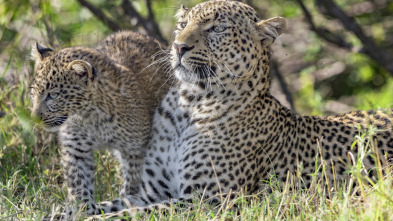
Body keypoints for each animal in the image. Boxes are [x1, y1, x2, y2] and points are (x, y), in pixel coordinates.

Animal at [89, 0, 392, 218]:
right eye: (182, 24)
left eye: (217, 29)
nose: (178, 46)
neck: (188, 106)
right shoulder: (149, 193)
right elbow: (102, 206)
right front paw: (82, 209)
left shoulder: (208, 200)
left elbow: (131, 215)